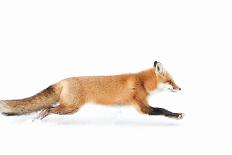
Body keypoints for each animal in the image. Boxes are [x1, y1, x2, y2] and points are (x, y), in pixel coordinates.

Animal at [0, 61, 185, 119]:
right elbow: (163, 110)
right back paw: (37, 119)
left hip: (71, 110)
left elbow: (162, 109)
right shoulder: (142, 107)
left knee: (48, 108)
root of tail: (63, 80)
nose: (180, 88)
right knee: (48, 108)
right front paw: (177, 115)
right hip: (69, 107)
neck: (141, 82)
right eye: (170, 81)